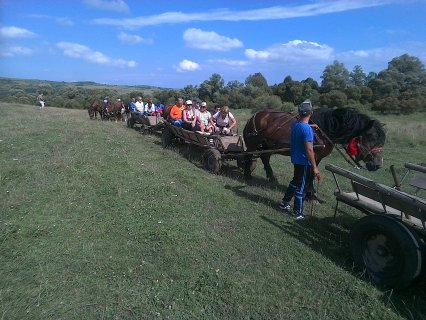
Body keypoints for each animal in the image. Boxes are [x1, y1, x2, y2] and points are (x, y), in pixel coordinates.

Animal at [243, 108, 386, 195]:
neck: (322, 129)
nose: (378, 164)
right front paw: (311, 194)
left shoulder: (318, 156)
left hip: (269, 145)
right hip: (253, 143)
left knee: (265, 158)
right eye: (372, 137)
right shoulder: (313, 154)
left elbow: (313, 172)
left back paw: (271, 177)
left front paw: (308, 190)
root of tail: (255, 116)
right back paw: (247, 175)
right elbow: (312, 172)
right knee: (248, 157)